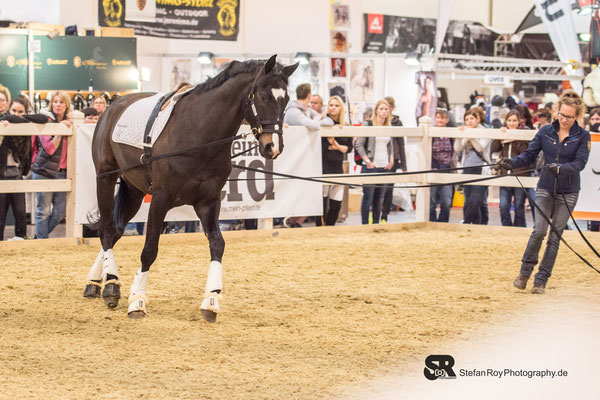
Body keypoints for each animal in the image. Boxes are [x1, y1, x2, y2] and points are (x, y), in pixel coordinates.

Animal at [83, 54, 298, 322]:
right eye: (262, 95)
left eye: (286, 99)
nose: (273, 147)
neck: (199, 135)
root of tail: (114, 105)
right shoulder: (160, 199)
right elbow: (149, 249)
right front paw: (138, 301)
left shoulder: (208, 201)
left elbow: (217, 244)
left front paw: (211, 301)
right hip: (105, 177)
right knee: (105, 229)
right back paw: (111, 285)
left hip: (134, 189)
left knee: (115, 231)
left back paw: (95, 282)